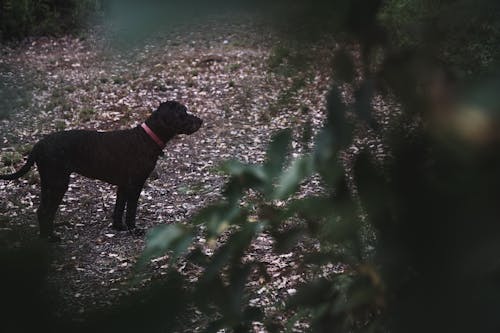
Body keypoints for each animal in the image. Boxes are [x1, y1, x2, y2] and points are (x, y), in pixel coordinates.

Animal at [0, 100, 203, 240]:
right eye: (183, 113)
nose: (201, 120)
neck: (147, 137)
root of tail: (38, 145)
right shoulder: (135, 185)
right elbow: (131, 210)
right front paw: (134, 230)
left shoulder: (123, 186)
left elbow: (118, 208)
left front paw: (118, 227)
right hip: (58, 183)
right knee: (45, 212)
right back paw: (50, 239)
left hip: (48, 183)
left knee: (41, 211)